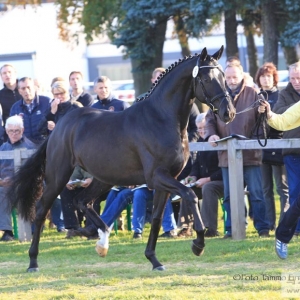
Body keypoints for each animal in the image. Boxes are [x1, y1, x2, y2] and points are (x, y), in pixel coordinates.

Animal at [8, 46, 236, 272]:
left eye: (224, 77)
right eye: (206, 79)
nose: (229, 113)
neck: (161, 119)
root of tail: (59, 127)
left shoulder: (166, 180)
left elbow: (156, 218)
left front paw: (154, 260)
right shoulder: (157, 177)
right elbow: (190, 195)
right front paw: (198, 245)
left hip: (104, 178)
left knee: (81, 201)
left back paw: (103, 244)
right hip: (59, 176)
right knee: (41, 210)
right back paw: (33, 262)